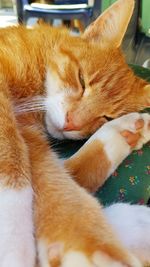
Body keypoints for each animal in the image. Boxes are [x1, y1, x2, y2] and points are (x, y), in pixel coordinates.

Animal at [0, 0, 150, 267]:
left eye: (105, 117)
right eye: (81, 79)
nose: (71, 123)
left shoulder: (32, 136)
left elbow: (58, 175)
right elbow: (12, 153)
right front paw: (13, 239)